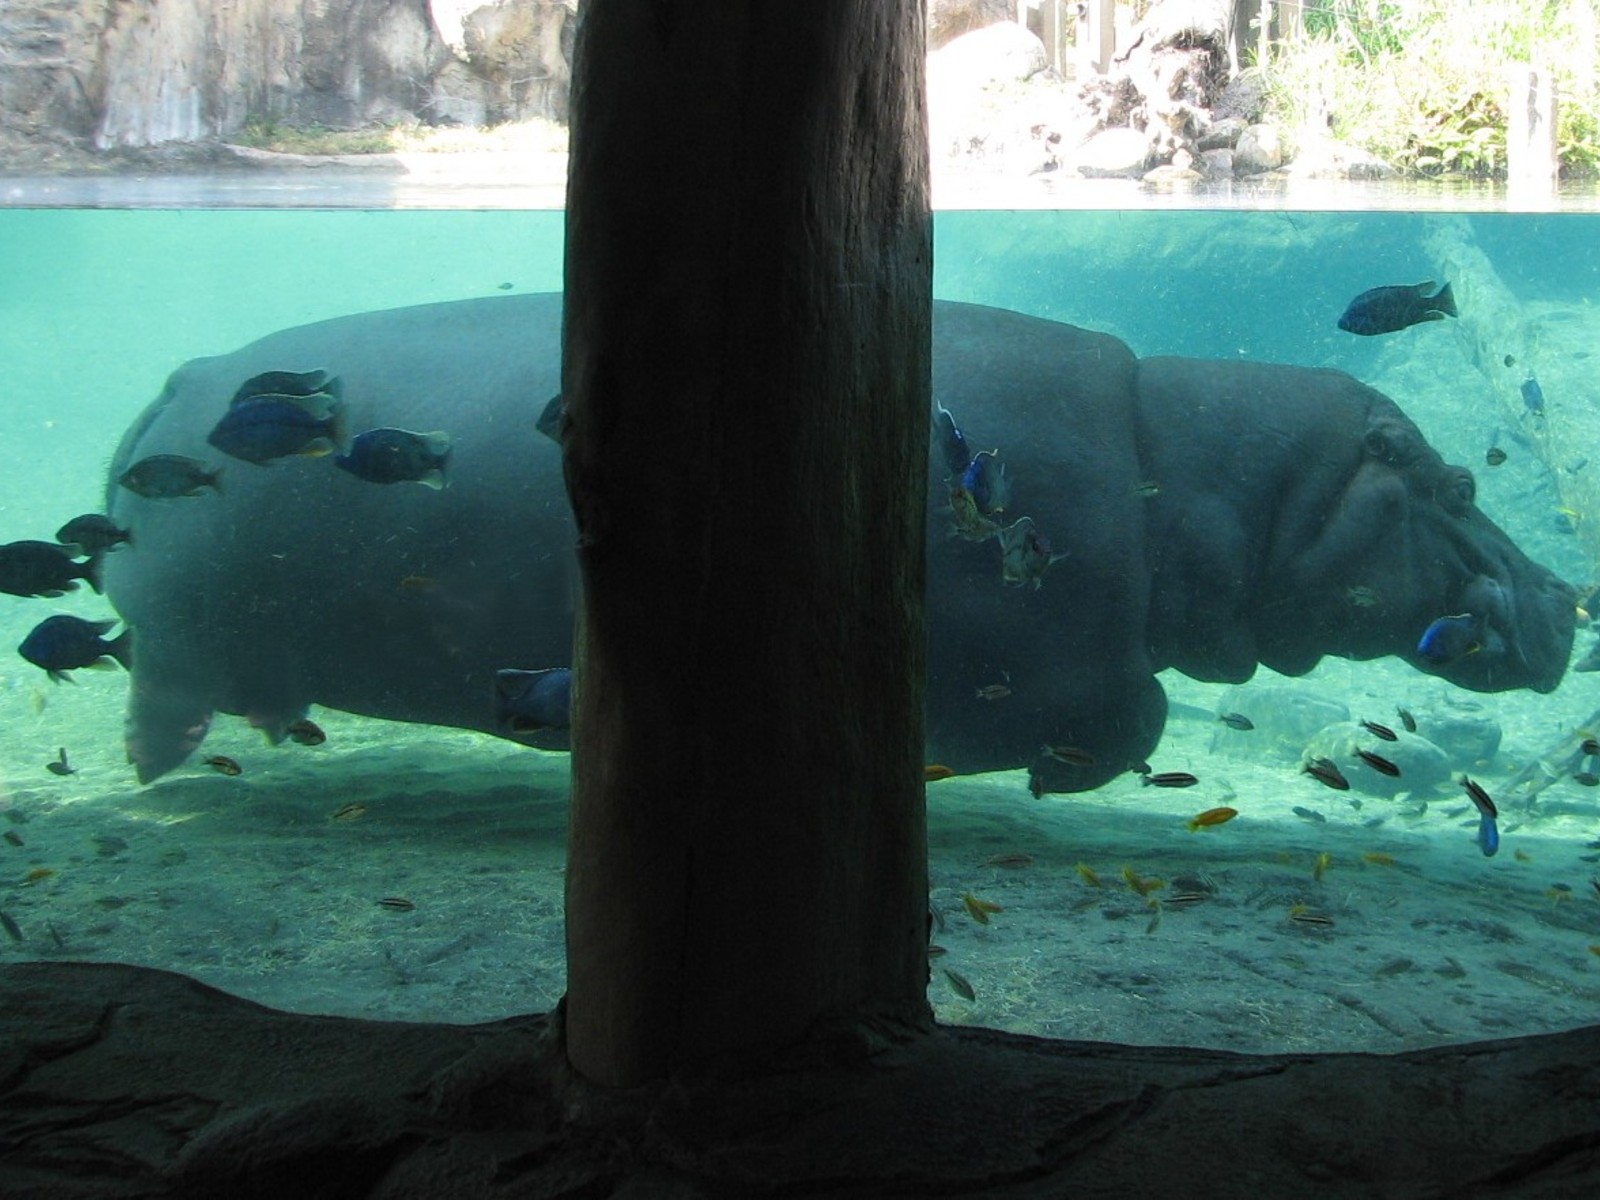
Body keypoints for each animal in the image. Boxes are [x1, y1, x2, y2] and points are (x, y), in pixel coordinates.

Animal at [102, 295, 1575, 789]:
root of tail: (180, 382)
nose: (1569, 592)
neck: (1204, 473)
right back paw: (162, 776)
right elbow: (1135, 713)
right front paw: (1052, 780)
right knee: (161, 702)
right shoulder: (1050, 644)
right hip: (176, 638)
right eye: (1449, 477)